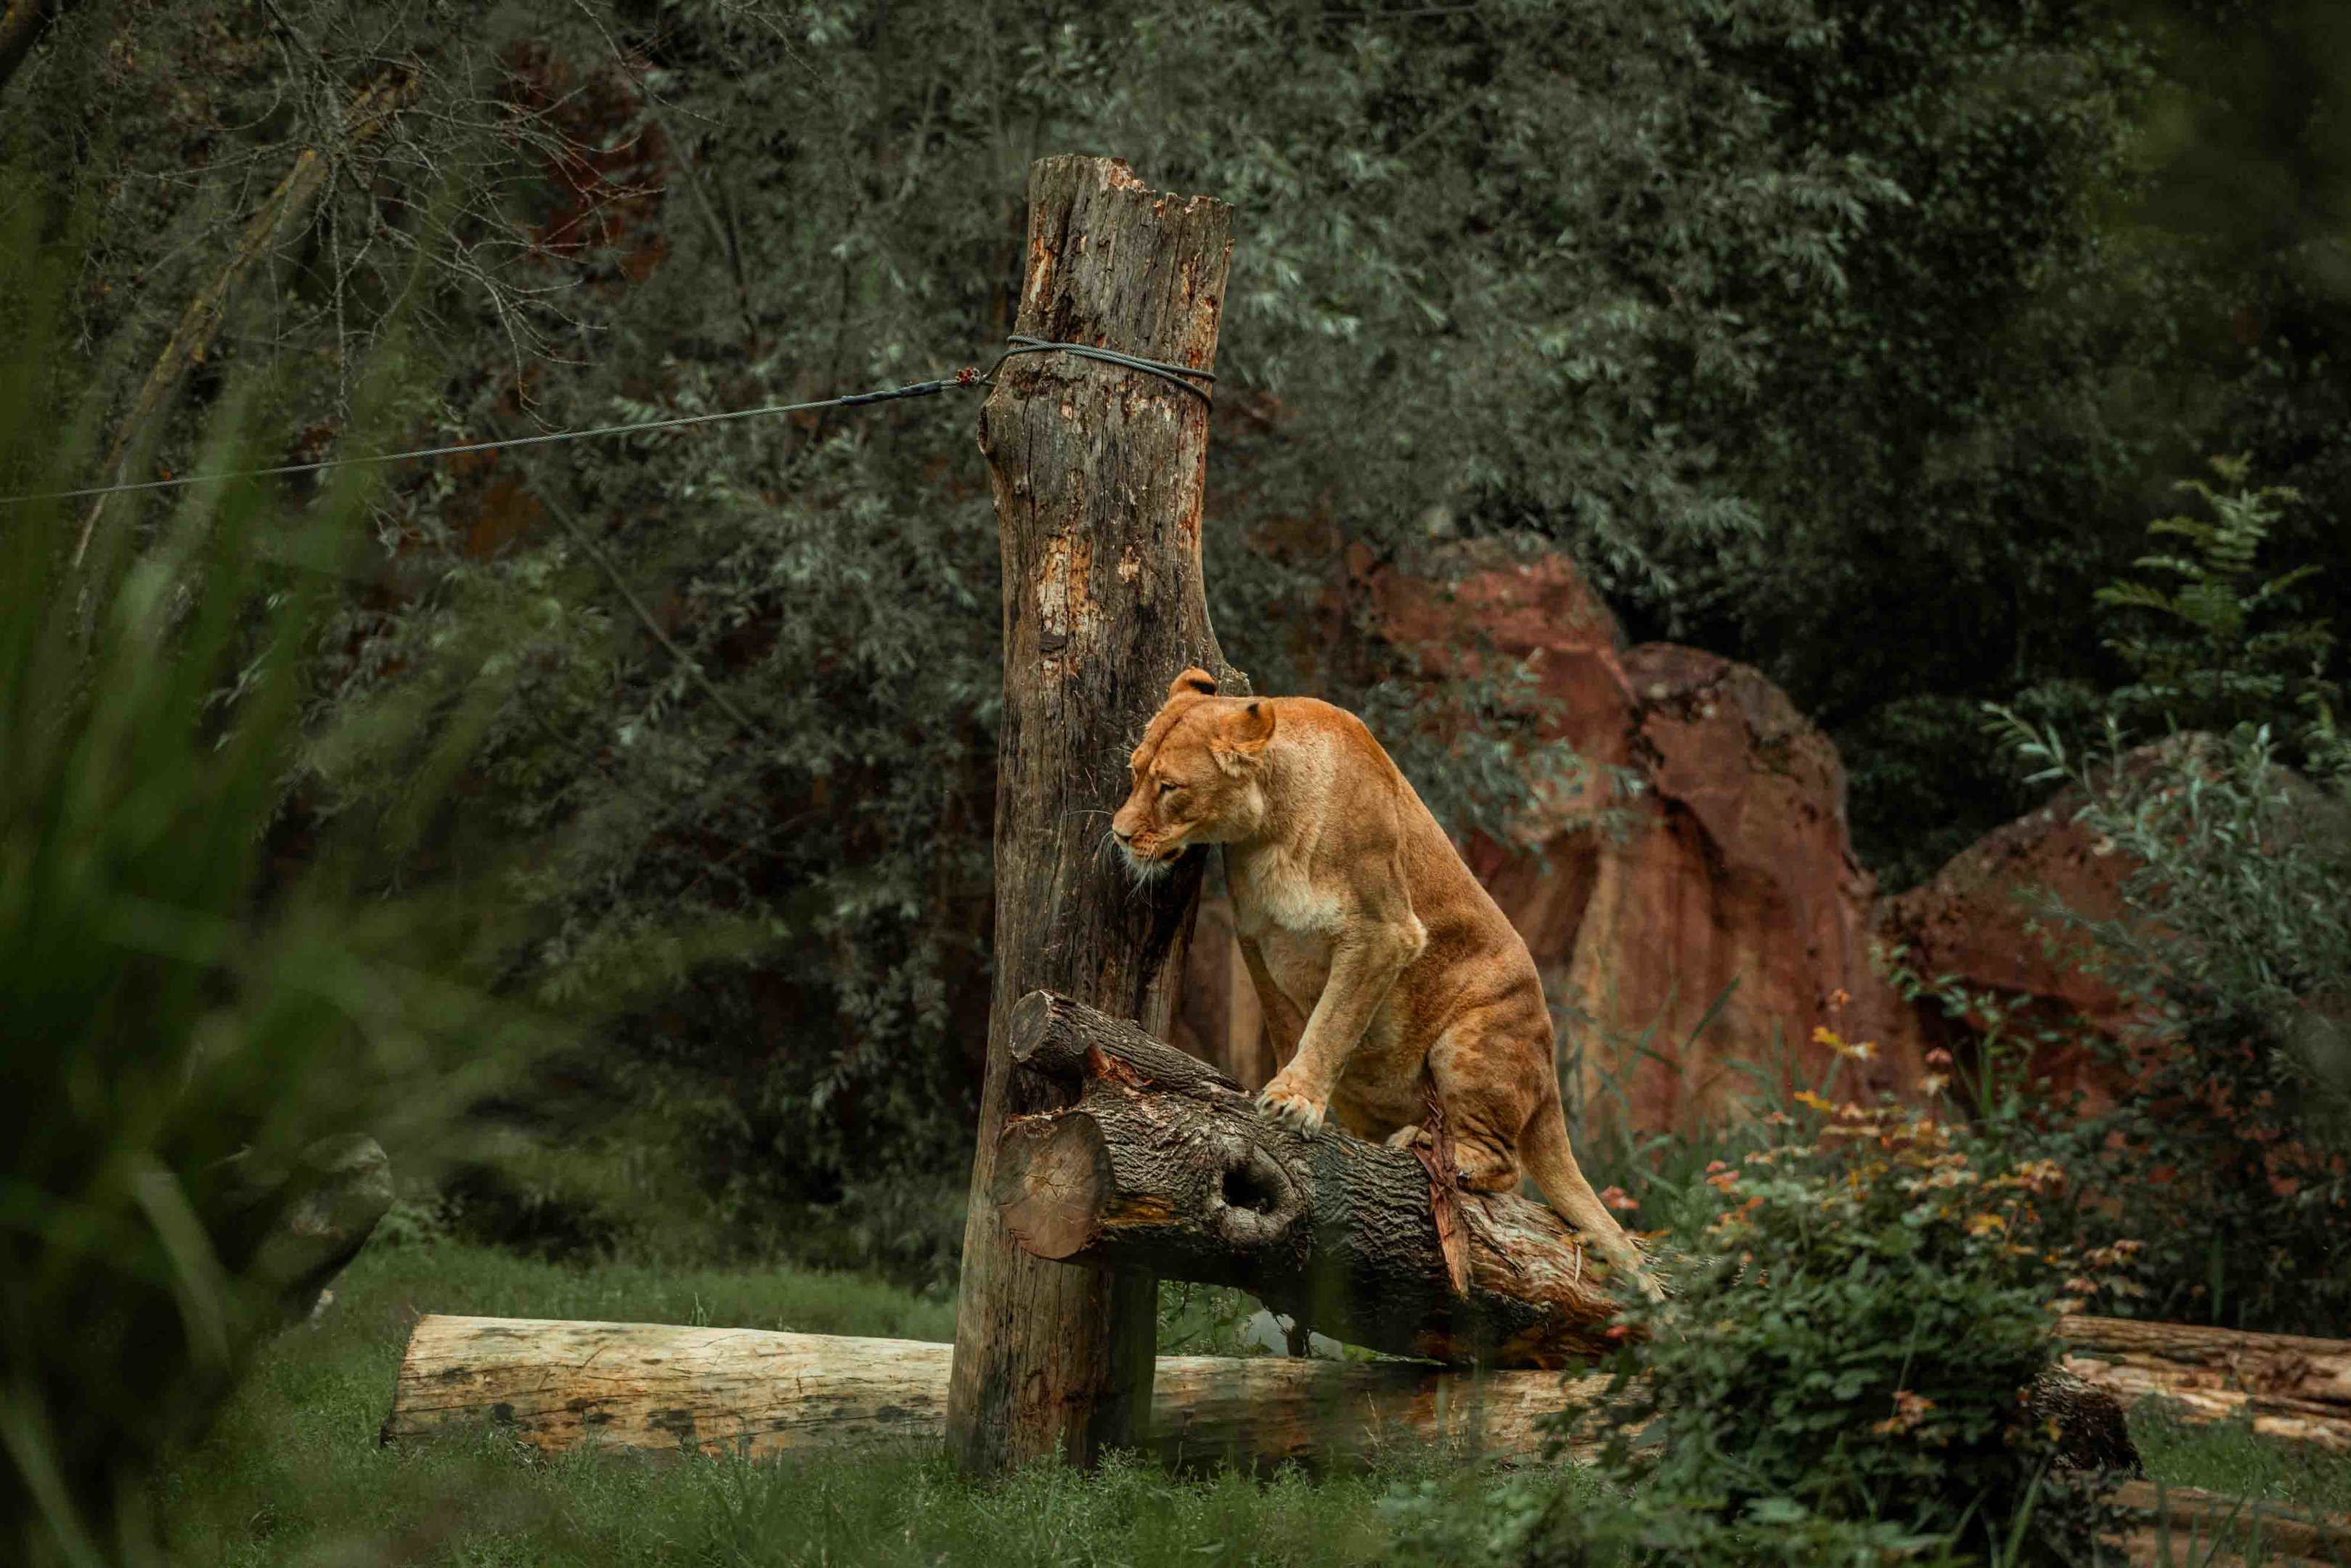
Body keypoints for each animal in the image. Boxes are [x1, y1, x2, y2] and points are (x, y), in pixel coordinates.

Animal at [1110, 667, 1654, 1294]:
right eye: (1134, 773)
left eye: (1170, 787)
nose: (1119, 834)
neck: (1270, 828)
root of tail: (1550, 1081)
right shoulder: (1258, 939)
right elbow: (1291, 1025)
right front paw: (1284, 1090)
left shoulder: (1385, 932)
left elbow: (1332, 1022)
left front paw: (1294, 1101)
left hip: (1471, 1038)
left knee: (1507, 1166)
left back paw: (1439, 1151)